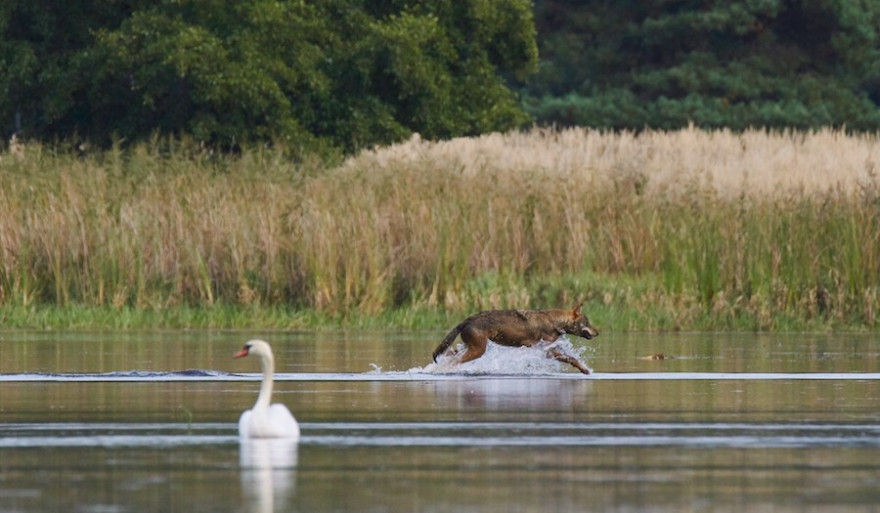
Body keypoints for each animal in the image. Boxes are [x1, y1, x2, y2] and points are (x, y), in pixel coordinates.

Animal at [432, 302, 600, 374]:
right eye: (587, 322)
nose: (597, 332)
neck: (554, 322)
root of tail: (466, 320)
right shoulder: (545, 350)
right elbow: (570, 358)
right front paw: (585, 370)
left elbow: (571, 358)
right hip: (478, 351)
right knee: (453, 362)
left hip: (468, 348)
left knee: (449, 355)